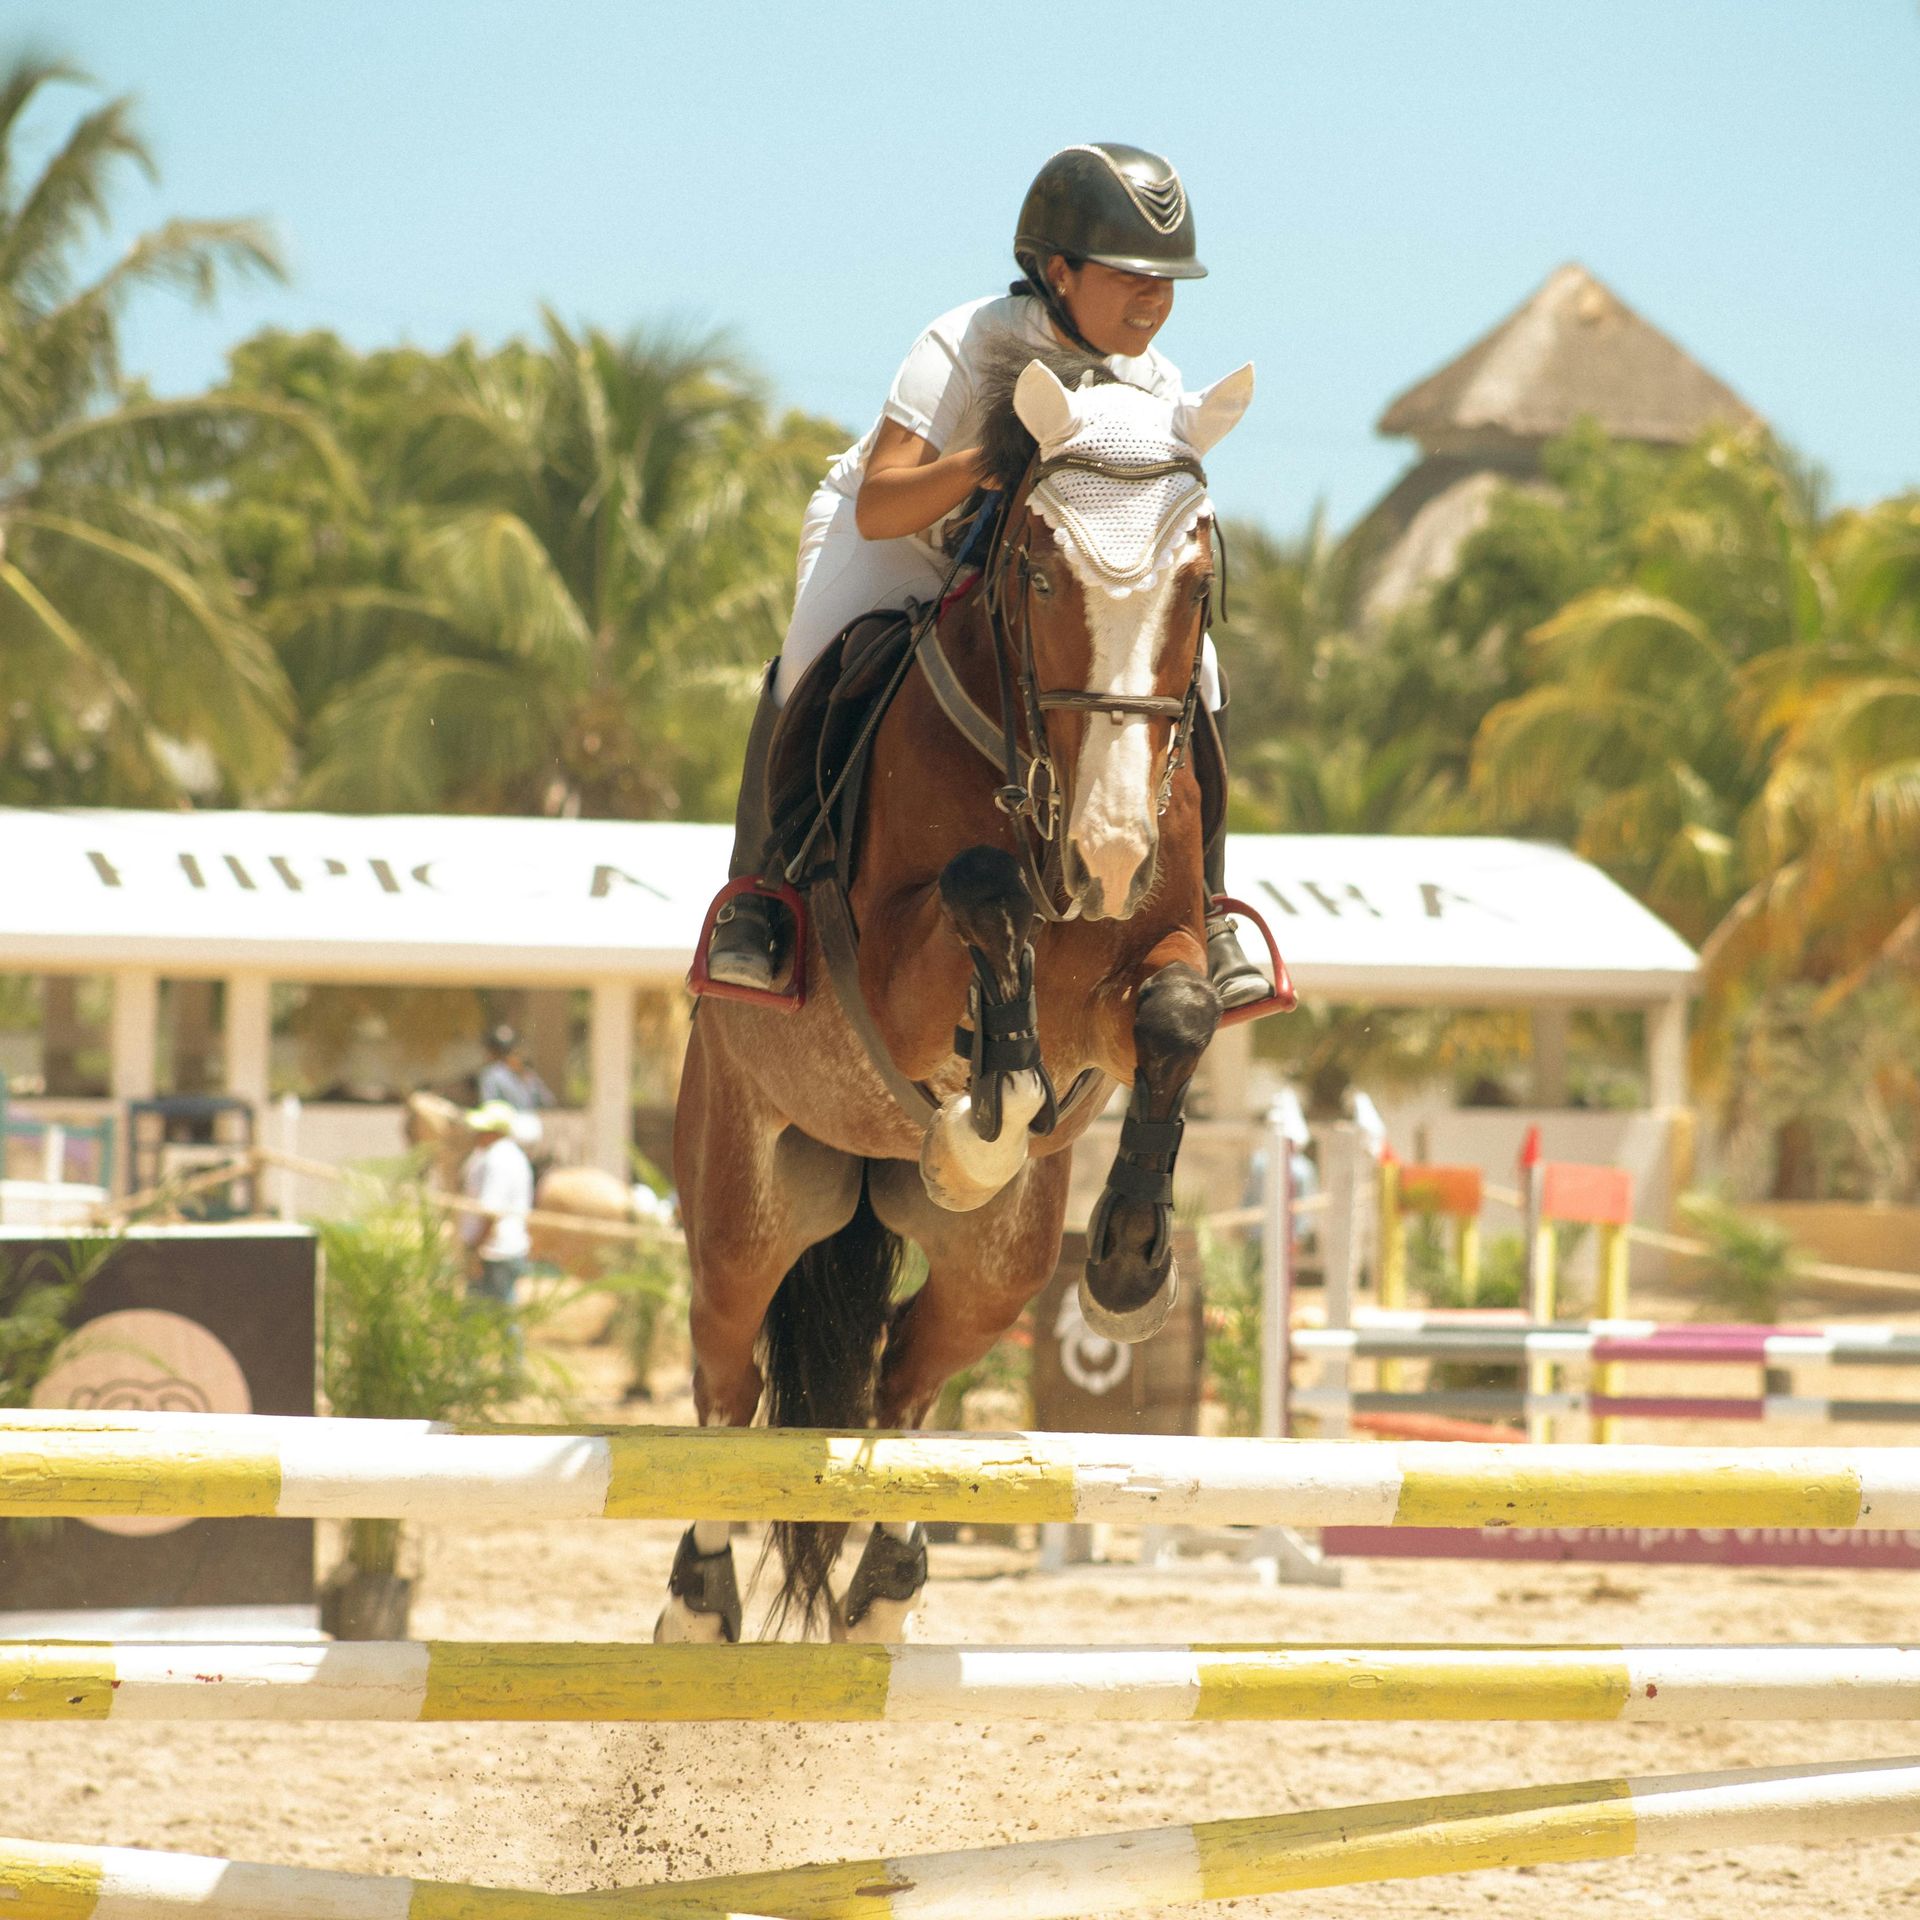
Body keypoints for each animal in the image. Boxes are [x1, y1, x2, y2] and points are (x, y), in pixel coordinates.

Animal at [667, 345, 1260, 1643]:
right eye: (1039, 571)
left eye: (1197, 586)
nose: (1107, 854)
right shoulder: (887, 972)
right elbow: (983, 901)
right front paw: (979, 1120)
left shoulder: (1138, 974)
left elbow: (1179, 1016)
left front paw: (1131, 1259)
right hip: (744, 1211)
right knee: (727, 1387)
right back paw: (696, 1603)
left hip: (999, 1271)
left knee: (903, 1382)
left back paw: (885, 1588)